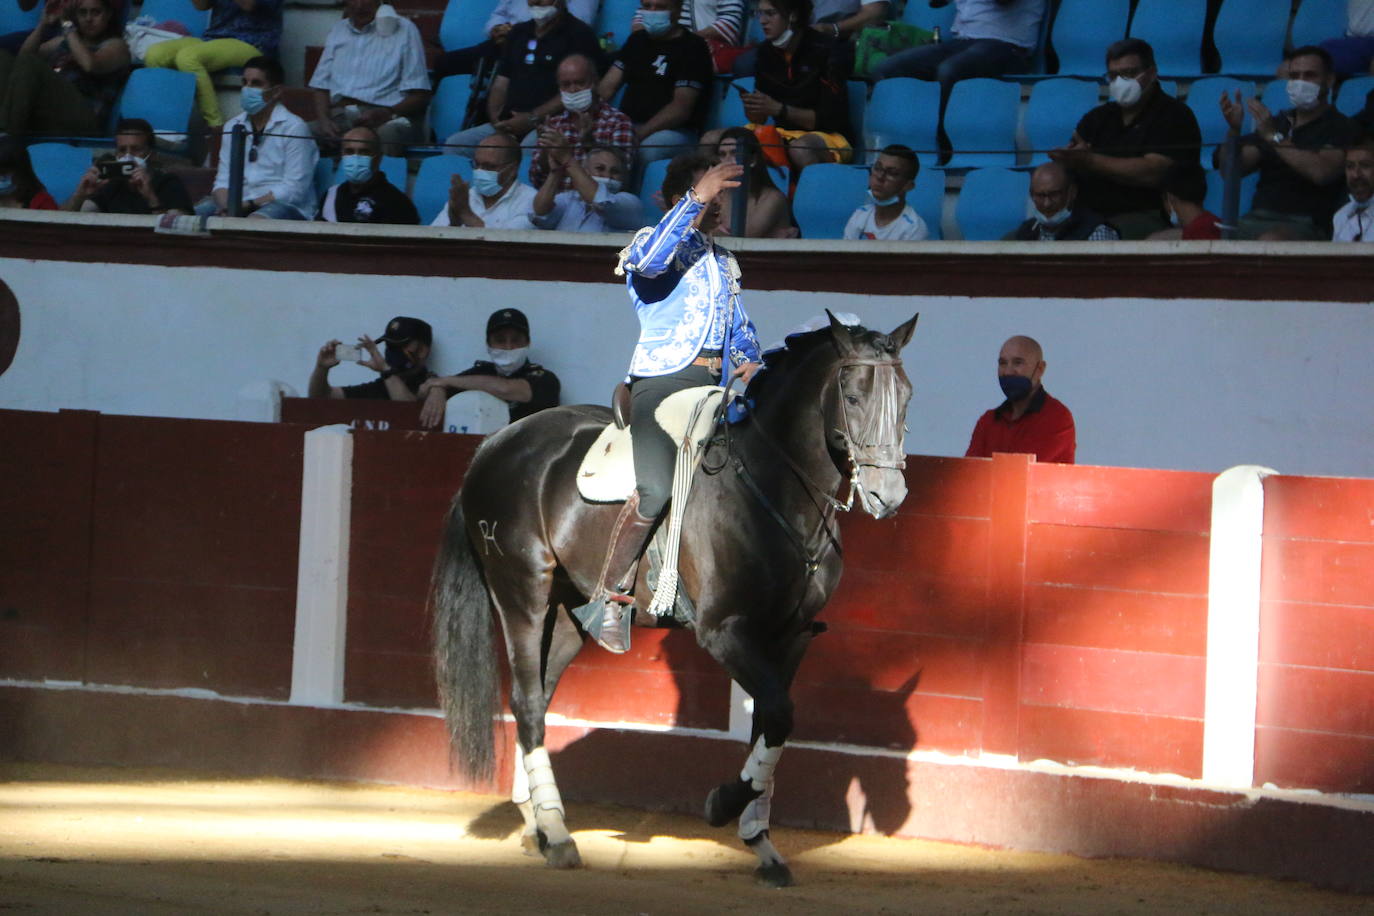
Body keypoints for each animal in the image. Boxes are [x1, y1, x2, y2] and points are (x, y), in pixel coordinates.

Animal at [428, 311, 917, 884]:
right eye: (855, 397)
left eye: (907, 396)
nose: (889, 496)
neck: (773, 486)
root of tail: (496, 444)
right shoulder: (725, 631)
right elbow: (777, 714)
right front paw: (723, 805)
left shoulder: (790, 637)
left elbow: (770, 725)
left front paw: (762, 843)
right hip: (521, 591)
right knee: (527, 701)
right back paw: (556, 834)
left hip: (567, 614)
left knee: (541, 699)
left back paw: (538, 822)